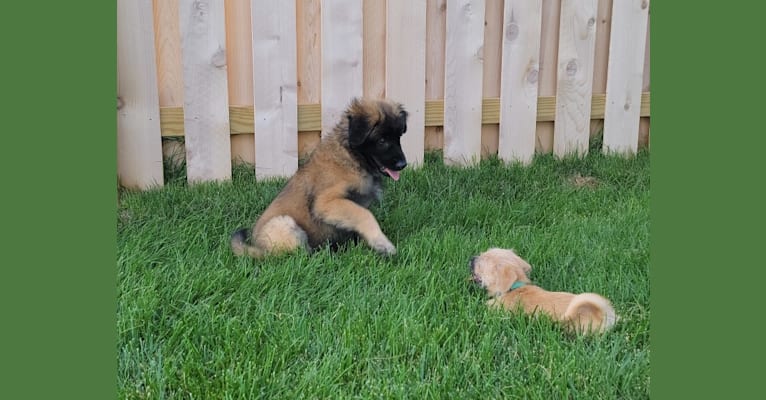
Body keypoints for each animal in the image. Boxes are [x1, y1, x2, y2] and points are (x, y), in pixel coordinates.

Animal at [231, 97, 408, 260]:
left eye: (399, 137)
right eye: (382, 140)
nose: (403, 164)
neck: (351, 157)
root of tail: (257, 248)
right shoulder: (326, 202)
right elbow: (364, 214)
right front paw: (382, 244)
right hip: (283, 224)